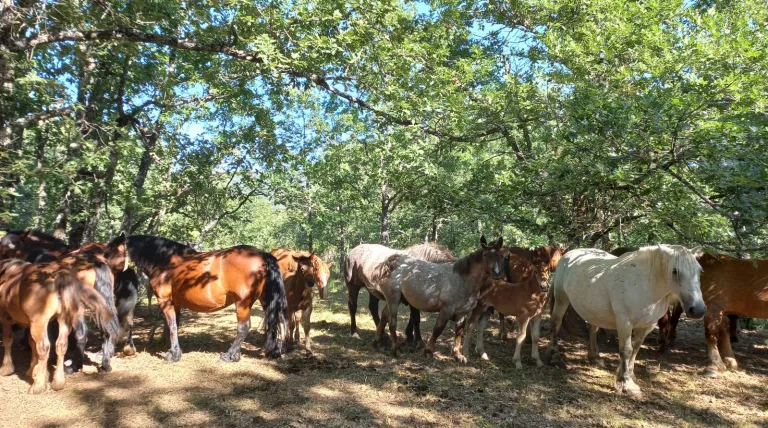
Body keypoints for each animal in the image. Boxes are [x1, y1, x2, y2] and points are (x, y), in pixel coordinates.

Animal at [0, 259, 118, 394]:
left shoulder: (6, 317)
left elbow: (8, 340)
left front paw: (6, 368)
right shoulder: (30, 323)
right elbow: (32, 343)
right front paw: (32, 370)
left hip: (51, 320)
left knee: (50, 345)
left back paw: (40, 385)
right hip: (65, 319)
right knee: (63, 344)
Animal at [125, 235, 288, 361]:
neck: (164, 260)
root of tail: (263, 255)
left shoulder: (165, 301)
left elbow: (172, 325)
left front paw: (173, 355)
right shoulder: (176, 303)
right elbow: (174, 325)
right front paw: (173, 350)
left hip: (243, 302)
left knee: (243, 327)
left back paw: (229, 356)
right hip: (265, 300)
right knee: (272, 323)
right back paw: (267, 353)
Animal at [374, 236, 505, 362]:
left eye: (501, 256)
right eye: (485, 255)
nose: (497, 274)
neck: (462, 280)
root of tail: (394, 262)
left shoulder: (462, 313)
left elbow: (459, 332)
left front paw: (458, 355)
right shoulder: (446, 309)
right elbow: (438, 329)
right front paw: (428, 352)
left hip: (398, 299)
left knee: (384, 315)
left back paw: (378, 343)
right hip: (394, 299)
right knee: (392, 322)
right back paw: (396, 350)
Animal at [546, 245, 707, 398]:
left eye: (700, 271)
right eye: (674, 271)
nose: (698, 310)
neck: (645, 285)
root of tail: (568, 255)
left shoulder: (647, 326)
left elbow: (635, 349)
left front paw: (629, 376)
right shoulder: (625, 322)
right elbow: (626, 350)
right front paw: (626, 384)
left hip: (594, 309)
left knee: (592, 328)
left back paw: (595, 358)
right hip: (561, 299)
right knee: (556, 323)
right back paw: (555, 358)